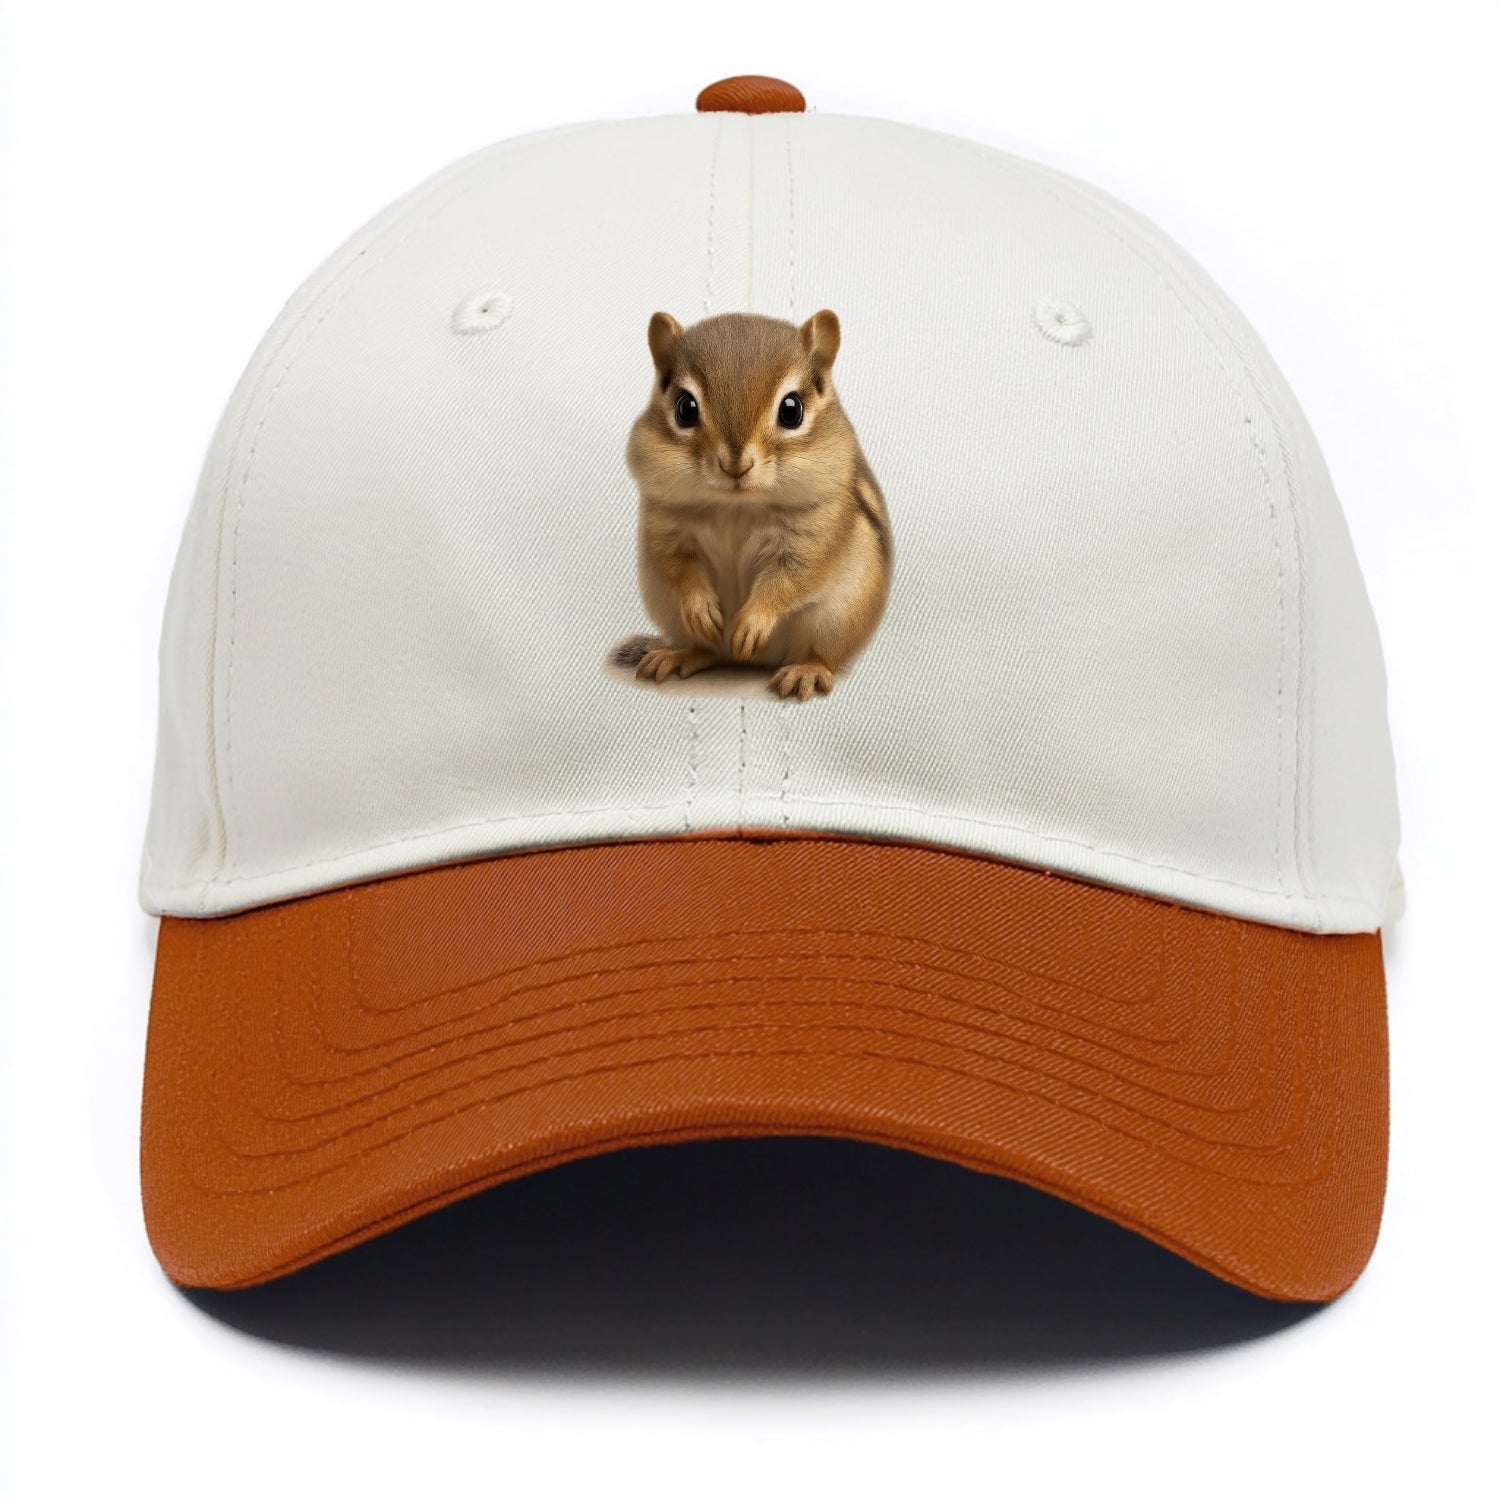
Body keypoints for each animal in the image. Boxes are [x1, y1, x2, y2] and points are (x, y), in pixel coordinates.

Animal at [614, 309, 893, 700]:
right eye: (685, 408)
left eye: (792, 410)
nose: (736, 465)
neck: (737, 506)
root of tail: (752, 662)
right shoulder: (666, 531)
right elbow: (679, 568)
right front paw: (702, 609)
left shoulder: (812, 538)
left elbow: (791, 579)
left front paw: (751, 623)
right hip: (665, 605)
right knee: (706, 650)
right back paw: (678, 655)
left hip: (836, 616)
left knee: (821, 654)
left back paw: (805, 671)